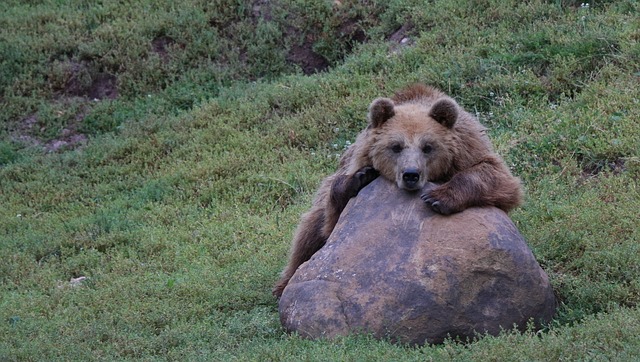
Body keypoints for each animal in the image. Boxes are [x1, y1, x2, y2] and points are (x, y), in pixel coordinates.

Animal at [272, 84, 524, 296]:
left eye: (427, 147)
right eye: (396, 146)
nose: (411, 174)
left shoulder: (468, 147)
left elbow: (496, 176)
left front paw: (437, 197)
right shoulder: (353, 163)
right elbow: (331, 220)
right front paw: (360, 177)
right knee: (309, 229)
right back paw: (283, 285)